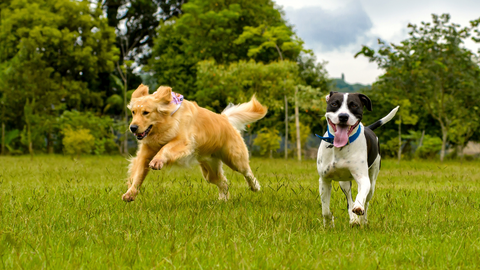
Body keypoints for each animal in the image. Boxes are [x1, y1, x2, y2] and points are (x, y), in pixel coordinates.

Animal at [316, 92, 400, 227]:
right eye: (334, 104)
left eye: (354, 105)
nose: (343, 116)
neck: (340, 147)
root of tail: (368, 128)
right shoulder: (324, 180)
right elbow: (325, 210)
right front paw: (328, 224)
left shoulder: (363, 179)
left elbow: (360, 197)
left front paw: (359, 209)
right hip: (344, 183)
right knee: (349, 200)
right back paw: (354, 219)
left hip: (372, 182)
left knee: (366, 200)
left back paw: (362, 220)